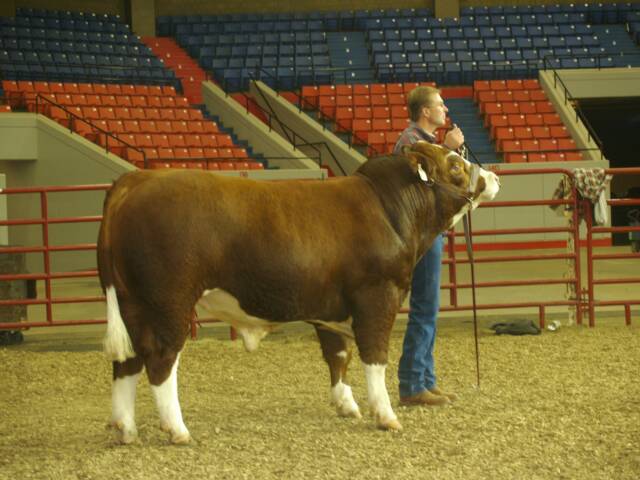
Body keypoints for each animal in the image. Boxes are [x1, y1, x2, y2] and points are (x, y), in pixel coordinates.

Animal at [97, 142, 500, 444]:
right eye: (454, 165)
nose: (494, 175)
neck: (388, 208)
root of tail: (136, 178)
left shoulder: (330, 306)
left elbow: (338, 355)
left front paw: (346, 405)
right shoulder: (378, 295)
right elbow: (374, 356)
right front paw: (384, 415)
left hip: (131, 301)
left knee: (128, 360)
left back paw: (125, 428)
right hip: (169, 302)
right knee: (160, 359)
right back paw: (177, 429)